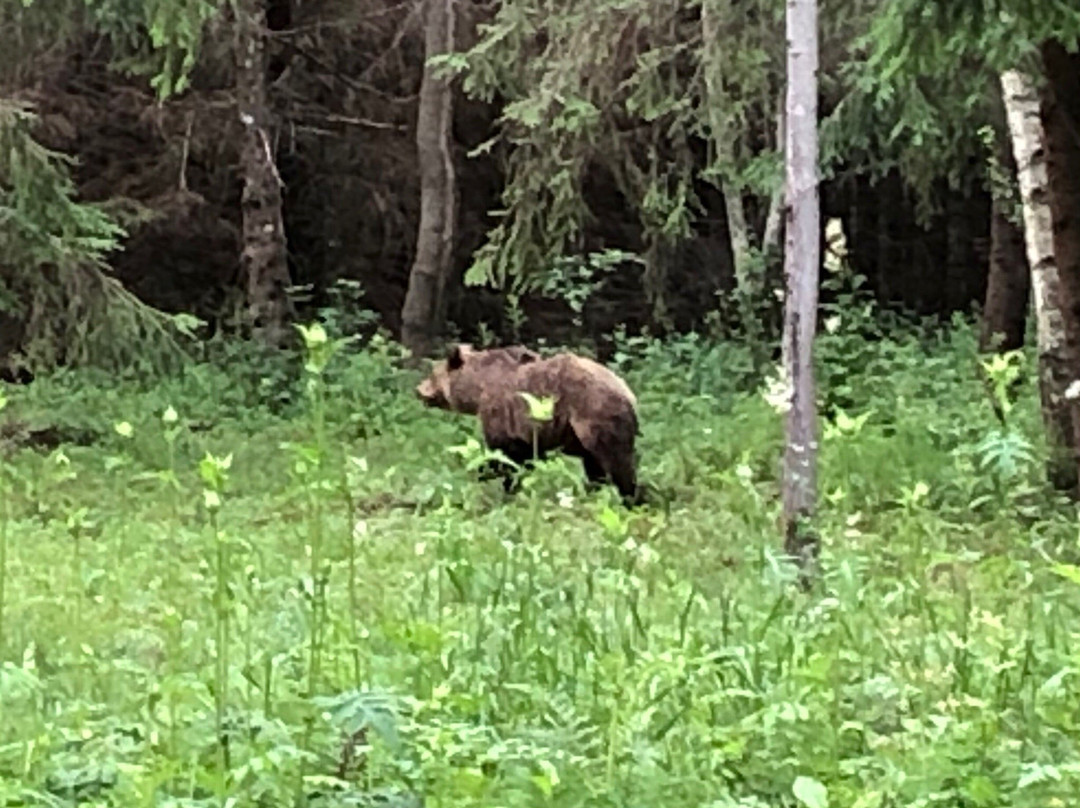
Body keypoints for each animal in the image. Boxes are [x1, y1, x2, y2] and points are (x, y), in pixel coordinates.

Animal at [414, 343, 639, 501]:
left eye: (432, 374)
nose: (418, 390)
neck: (478, 389)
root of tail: (627, 393)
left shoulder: (503, 415)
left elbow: (505, 457)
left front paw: (485, 474)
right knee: (596, 468)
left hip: (594, 418)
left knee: (618, 466)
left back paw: (630, 498)